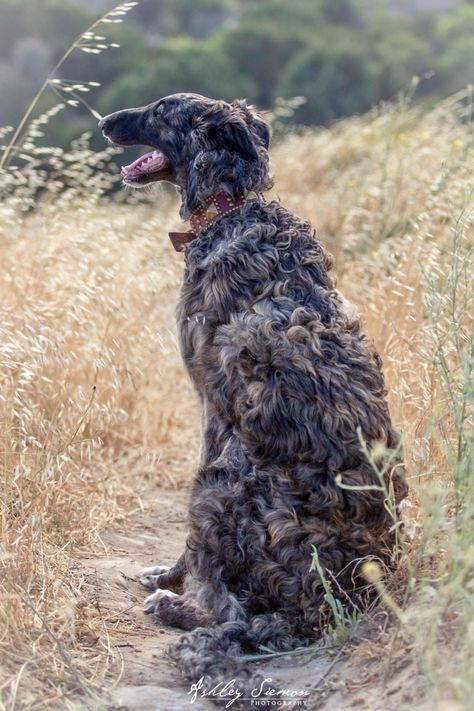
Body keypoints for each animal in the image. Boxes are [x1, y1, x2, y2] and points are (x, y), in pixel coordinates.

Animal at [98, 94, 406, 700]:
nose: (102, 122)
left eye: (162, 109)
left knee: (225, 610)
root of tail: (323, 606)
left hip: (220, 484)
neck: (231, 211)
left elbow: (190, 555)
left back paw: (174, 605)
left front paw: (167, 577)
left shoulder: (212, 410)